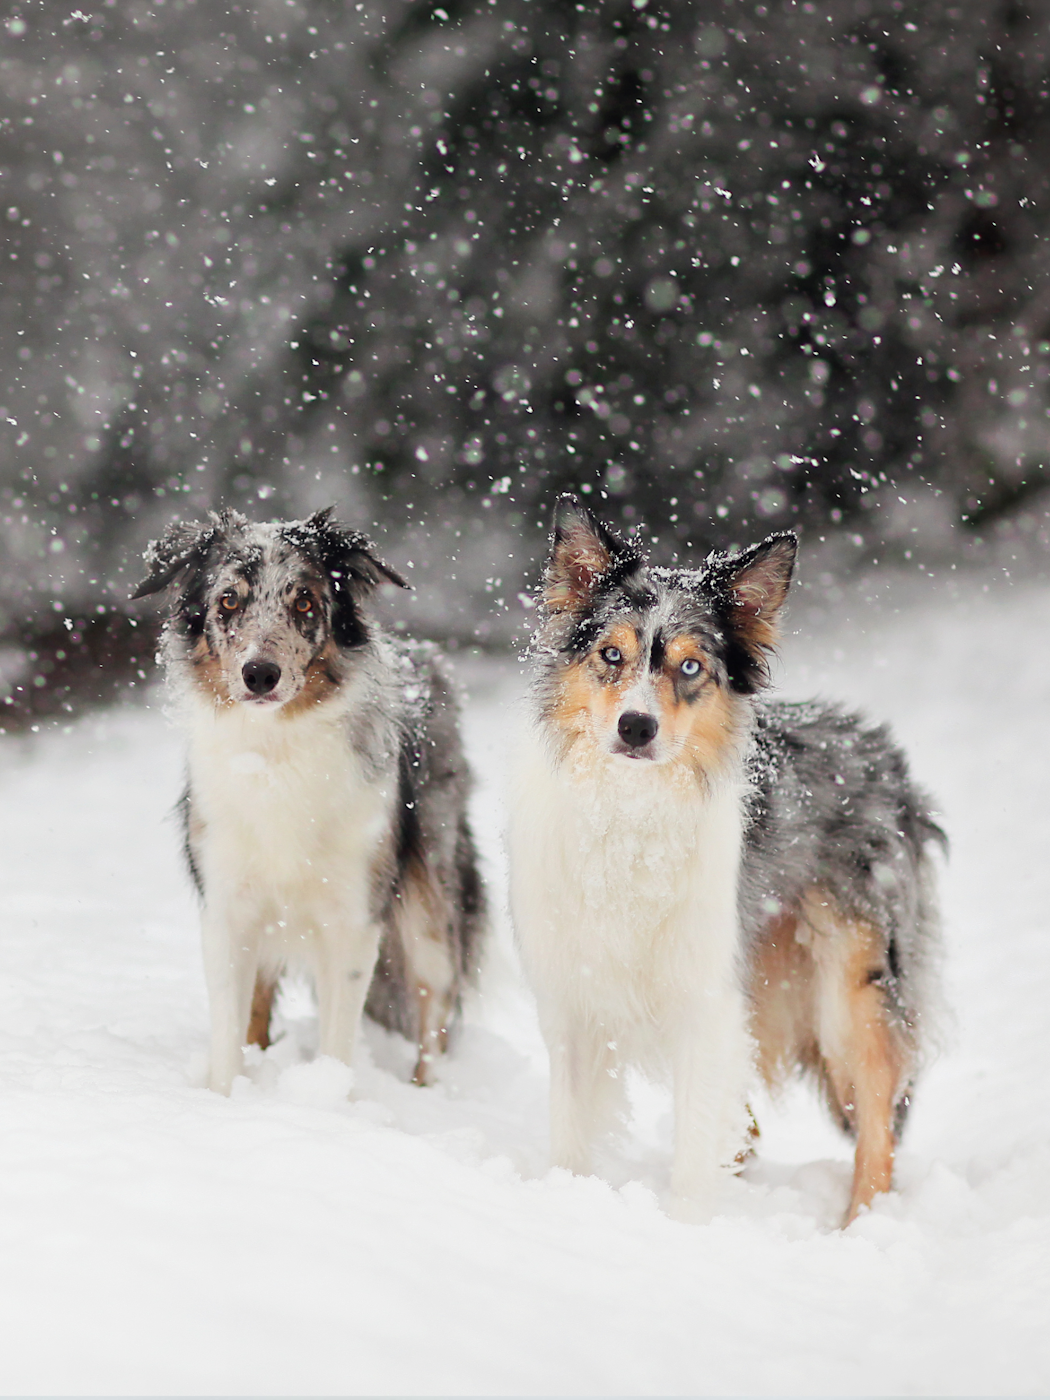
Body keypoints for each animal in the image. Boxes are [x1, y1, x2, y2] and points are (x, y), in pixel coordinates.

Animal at [132, 506, 490, 1092]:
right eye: (228, 601)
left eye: (304, 602)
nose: (260, 674)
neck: (276, 751)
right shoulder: (227, 906)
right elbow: (229, 1029)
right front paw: (225, 1098)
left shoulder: (353, 913)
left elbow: (339, 1037)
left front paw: (331, 1099)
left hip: (430, 903)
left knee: (433, 1010)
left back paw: (424, 1091)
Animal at [509, 495, 946, 1226]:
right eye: (610, 654)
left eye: (690, 668)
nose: (636, 727)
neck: (632, 810)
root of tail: (880, 752)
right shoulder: (574, 991)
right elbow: (571, 1134)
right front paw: (565, 1202)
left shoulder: (703, 999)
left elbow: (694, 1153)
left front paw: (686, 1229)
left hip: (847, 992)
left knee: (877, 1120)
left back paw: (860, 1228)